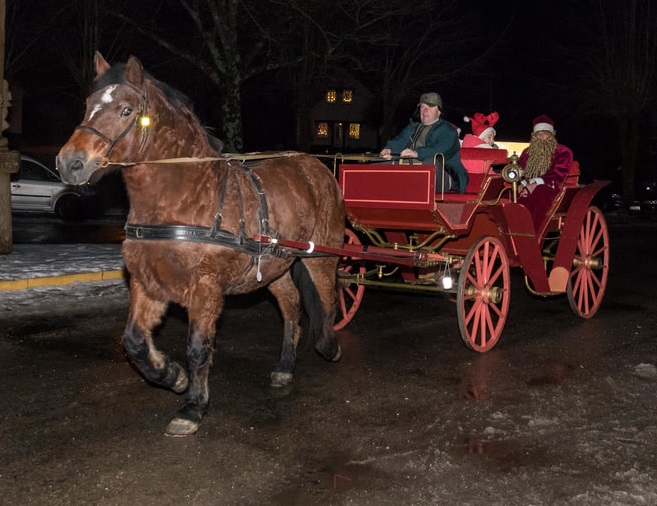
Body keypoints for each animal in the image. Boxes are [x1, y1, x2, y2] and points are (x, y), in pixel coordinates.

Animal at [56, 52, 346, 437]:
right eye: (89, 104)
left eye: (126, 110)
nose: (69, 163)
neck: (181, 198)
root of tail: (317, 166)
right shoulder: (147, 283)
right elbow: (134, 340)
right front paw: (172, 376)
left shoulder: (205, 288)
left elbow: (197, 348)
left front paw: (192, 407)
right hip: (273, 266)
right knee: (291, 305)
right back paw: (285, 366)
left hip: (322, 255)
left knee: (326, 299)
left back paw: (329, 345)